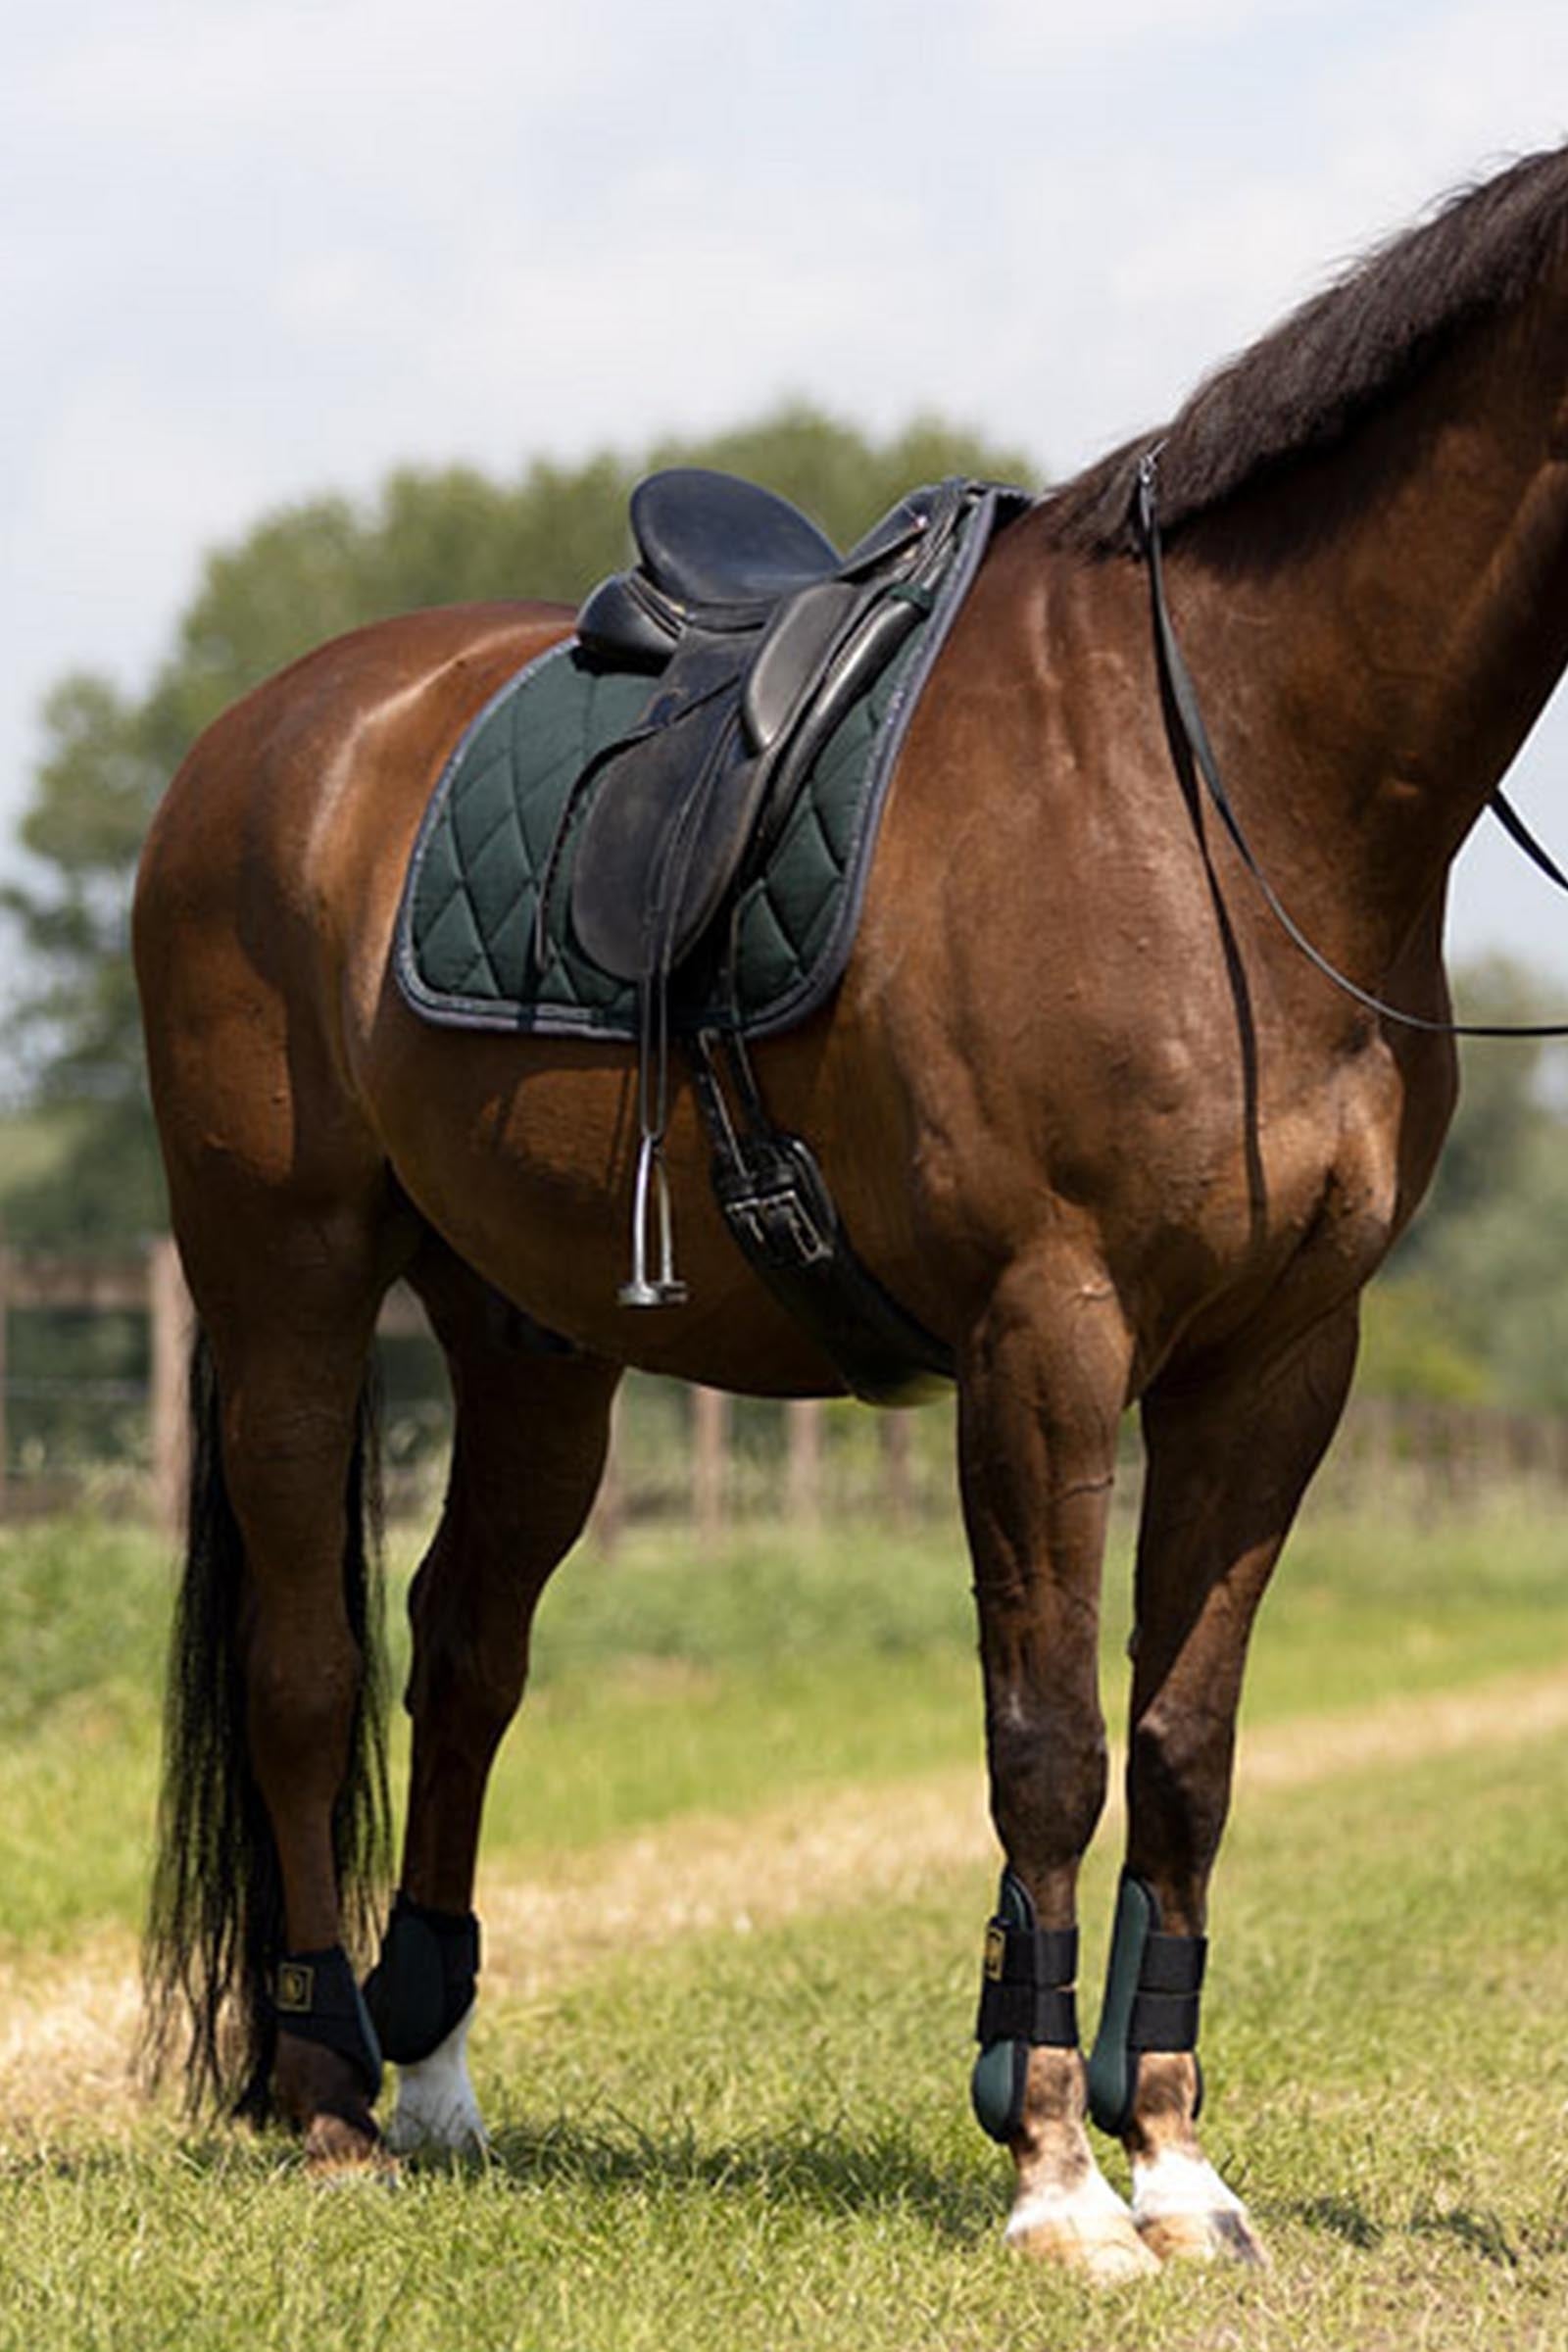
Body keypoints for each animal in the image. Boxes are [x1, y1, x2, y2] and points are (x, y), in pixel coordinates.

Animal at [133, 142, 1568, 2279]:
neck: (1223, 783)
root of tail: (268, 740)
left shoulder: (1277, 1363)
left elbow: (1187, 1747)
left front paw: (1178, 2168)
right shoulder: (1045, 1332)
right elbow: (1048, 1744)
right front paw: (1056, 2184)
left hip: (534, 1340)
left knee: (465, 1651)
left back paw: (440, 2076)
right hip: (283, 1286)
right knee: (307, 1672)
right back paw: (329, 2100)